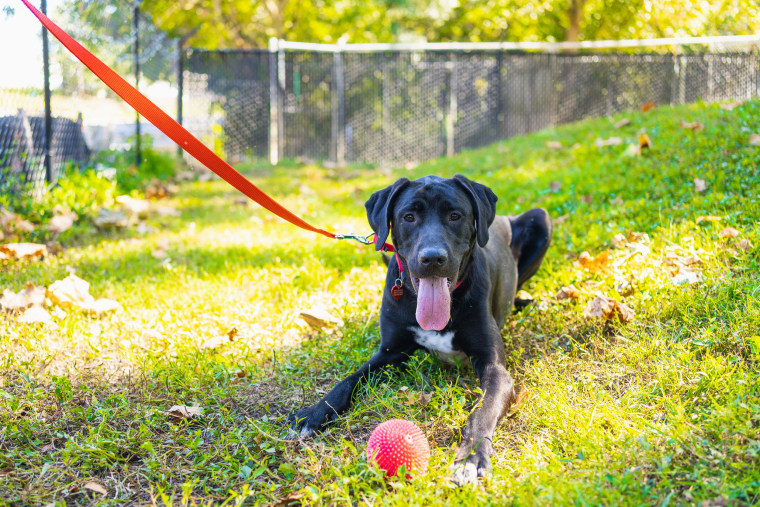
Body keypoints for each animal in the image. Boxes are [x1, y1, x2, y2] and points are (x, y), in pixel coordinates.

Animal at [288, 176, 548, 488]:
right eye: (408, 217)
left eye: (455, 215)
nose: (432, 259)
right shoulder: (389, 353)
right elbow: (348, 381)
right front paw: (314, 413)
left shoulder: (495, 368)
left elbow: (482, 412)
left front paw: (470, 458)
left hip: (540, 218)